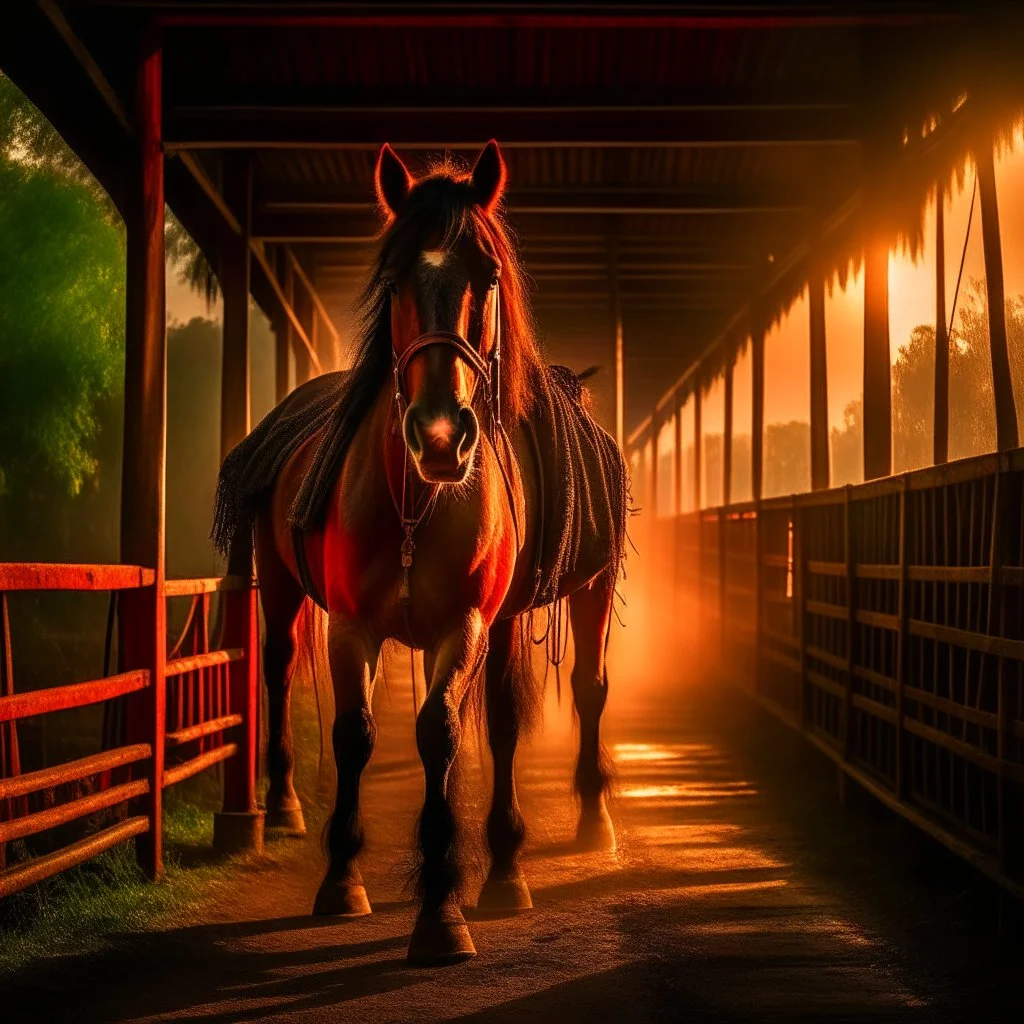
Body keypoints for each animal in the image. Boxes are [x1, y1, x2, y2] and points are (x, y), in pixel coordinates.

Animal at [218, 140, 622, 962]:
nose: (440, 436)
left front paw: (442, 908)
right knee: (277, 667)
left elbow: (441, 732)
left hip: (583, 591)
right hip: (279, 580)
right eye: (395, 277)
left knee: (576, 692)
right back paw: (283, 806)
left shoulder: (464, 624)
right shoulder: (351, 625)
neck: (416, 503)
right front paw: (342, 880)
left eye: (488, 277)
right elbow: (354, 733)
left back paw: (569, 834)